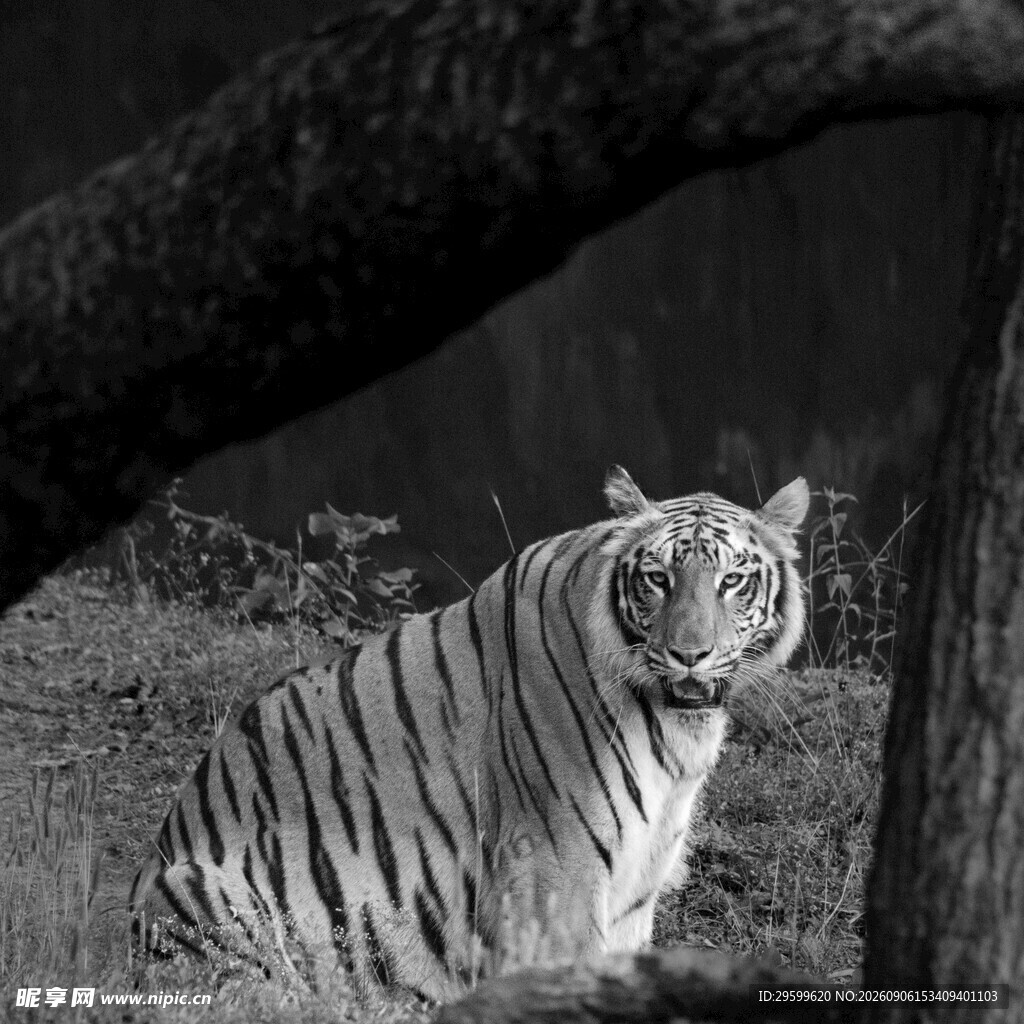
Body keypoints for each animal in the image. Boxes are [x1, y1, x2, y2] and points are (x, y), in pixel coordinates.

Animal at [129, 466, 808, 1000]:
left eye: (731, 581)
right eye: (658, 579)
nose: (690, 655)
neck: (672, 732)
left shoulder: (635, 885)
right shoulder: (553, 868)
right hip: (210, 897)